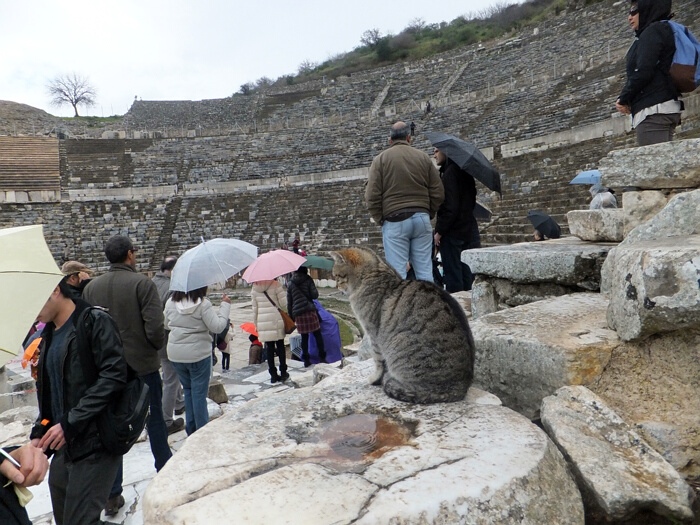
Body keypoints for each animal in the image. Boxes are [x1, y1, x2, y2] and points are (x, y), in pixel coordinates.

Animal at [332, 248, 476, 404]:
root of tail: (461, 388)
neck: (374, 272)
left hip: (400, 341)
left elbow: (378, 362)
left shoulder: (373, 333)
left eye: (337, 276)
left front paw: (374, 379)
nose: (336, 287)